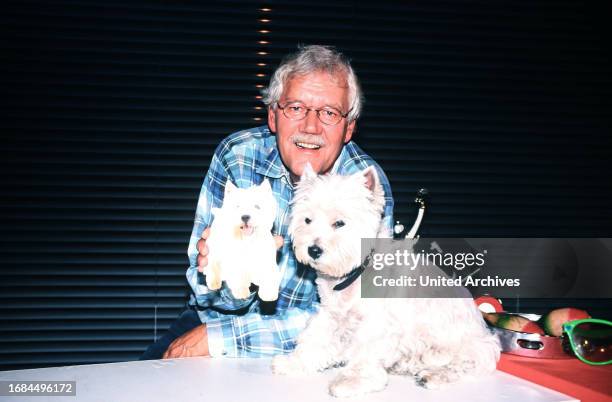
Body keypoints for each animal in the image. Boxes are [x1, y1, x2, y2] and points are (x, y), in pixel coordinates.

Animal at [270, 166, 500, 396]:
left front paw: (351, 381)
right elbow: (315, 338)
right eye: (307, 220)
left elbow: (364, 354)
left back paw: (432, 375)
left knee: (464, 363)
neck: (355, 273)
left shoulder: (376, 324)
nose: (314, 250)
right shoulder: (331, 313)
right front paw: (294, 363)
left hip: (466, 344)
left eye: (340, 223)